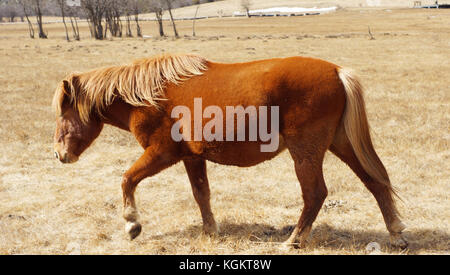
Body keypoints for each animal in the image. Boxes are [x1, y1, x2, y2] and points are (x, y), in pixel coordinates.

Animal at [52, 53, 408, 250]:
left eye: (62, 113)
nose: (60, 155)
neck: (148, 95)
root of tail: (336, 71)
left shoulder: (162, 153)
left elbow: (127, 179)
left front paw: (132, 224)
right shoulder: (192, 157)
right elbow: (202, 194)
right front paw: (211, 231)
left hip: (306, 151)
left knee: (315, 193)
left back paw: (293, 240)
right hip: (341, 144)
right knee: (375, 181)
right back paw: (396, 234)